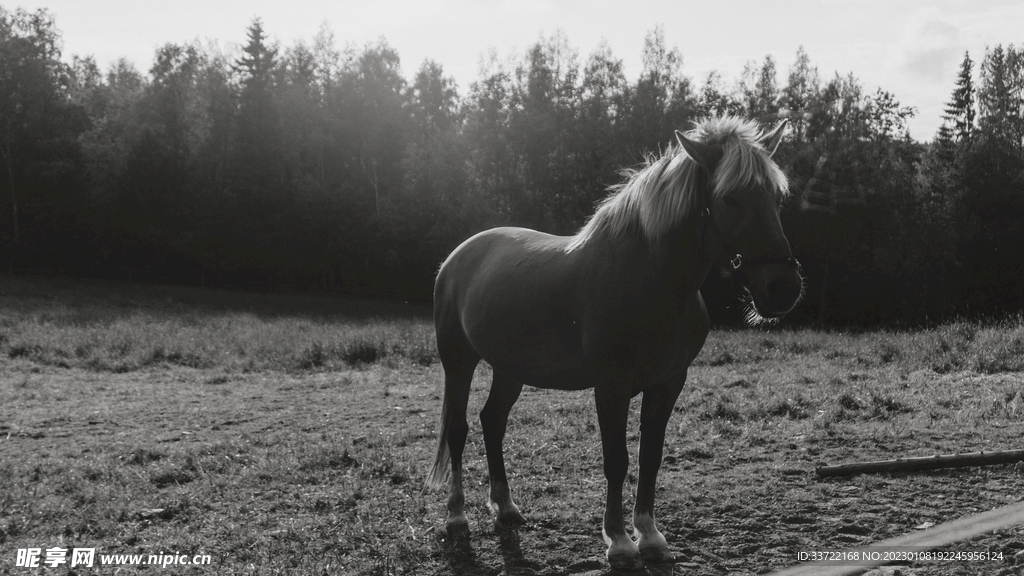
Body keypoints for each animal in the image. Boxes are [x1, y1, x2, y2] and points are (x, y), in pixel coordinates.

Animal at [427, 116, 803, 570]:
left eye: (777, 198)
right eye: (730, 198)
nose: (783, 287)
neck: (645, 279)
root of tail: (457, 257)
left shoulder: (669, 383)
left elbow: (650, 457)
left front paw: (651, 536)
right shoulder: (611, 387)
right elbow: (616, 460)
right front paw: (620, 543)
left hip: (510, 368)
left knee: (492, 421)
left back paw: (506, 509)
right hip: (458, 362)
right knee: (459, 429)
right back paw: (456, 516)